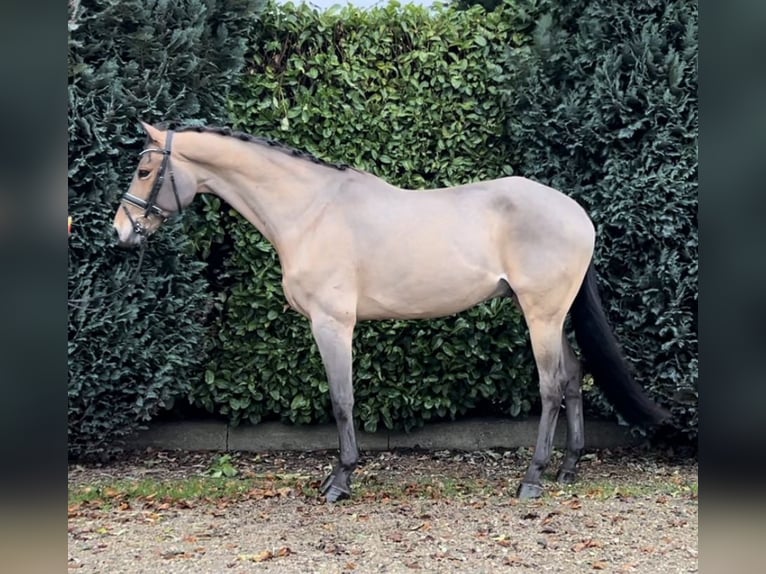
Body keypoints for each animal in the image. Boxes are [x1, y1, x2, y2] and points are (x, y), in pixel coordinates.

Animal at [111, 122, 668, 504]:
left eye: (144, 170)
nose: (120, 231)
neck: (311, 210)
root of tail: (577, 213)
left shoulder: (332, 324)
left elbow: (341, 401)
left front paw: (340, 480)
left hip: (542, 315)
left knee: (552, 386)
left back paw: (533, 479)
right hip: (549, 315)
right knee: (574, 376)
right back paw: (568, 469)